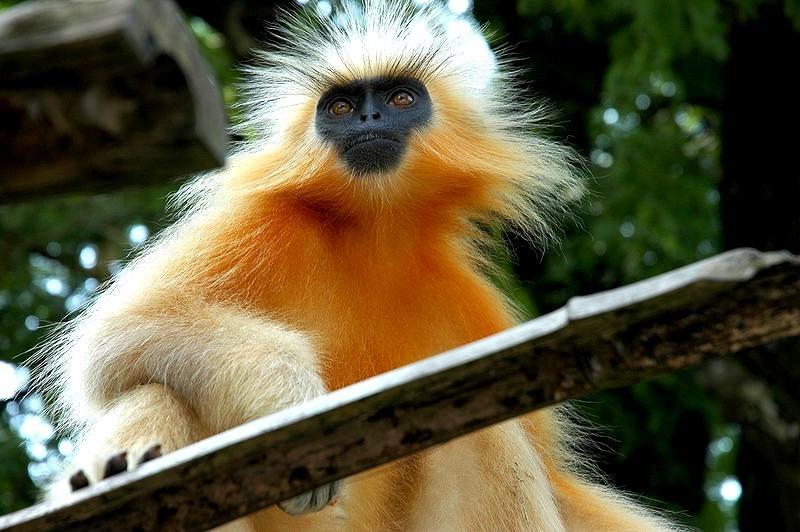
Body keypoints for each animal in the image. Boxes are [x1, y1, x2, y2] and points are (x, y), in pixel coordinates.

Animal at [32, 0, 680, 528]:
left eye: (400, 99)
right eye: (341, 107)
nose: (369, 121)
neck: (374, 235)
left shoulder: (469, 303)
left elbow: (555, 481)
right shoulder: (264, 223)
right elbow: (119, 333)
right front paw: (291, 404)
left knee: (487, 433)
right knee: (157, 379)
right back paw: (114, 470)